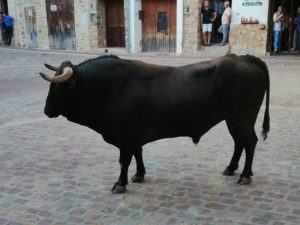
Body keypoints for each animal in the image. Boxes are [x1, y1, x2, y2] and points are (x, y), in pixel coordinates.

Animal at [39, 54, 270, 193]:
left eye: (57, 88)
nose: (46, 110)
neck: (111, 88)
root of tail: (244, 57)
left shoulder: (125, 136)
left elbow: (124, 161)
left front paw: (120, 184)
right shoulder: (133, 136)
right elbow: (138, 153)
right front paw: (139, 174)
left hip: (241, 118)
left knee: (249, 143)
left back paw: (245, 176)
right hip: (233, 120)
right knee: (239, 143)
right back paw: (231, 168)